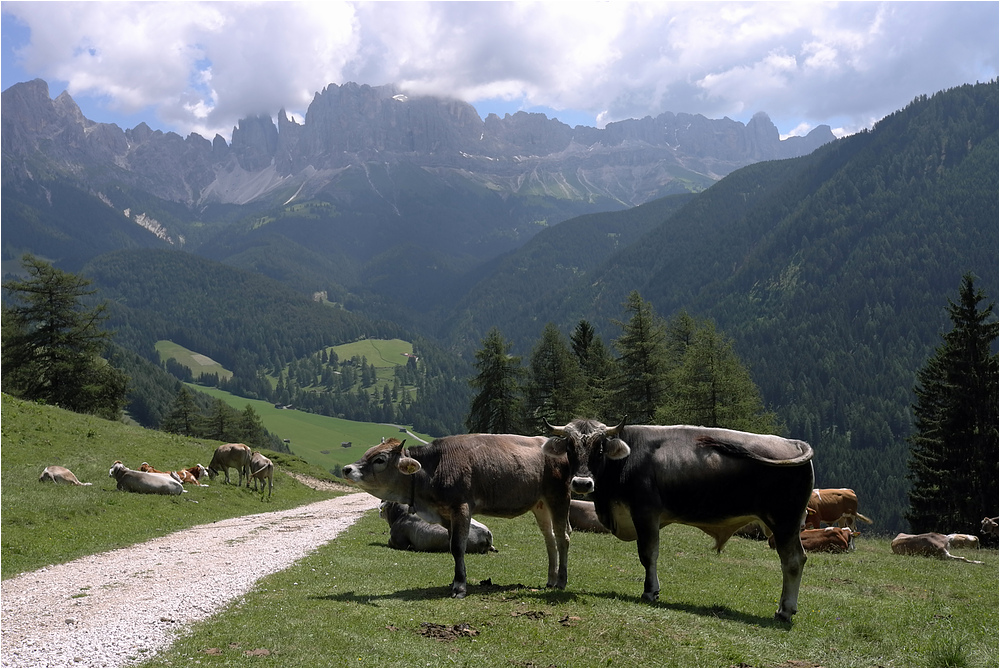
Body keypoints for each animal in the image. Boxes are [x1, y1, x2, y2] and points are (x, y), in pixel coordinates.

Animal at [340, 436, 572, 596]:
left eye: (380, 459)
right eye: (368, 451)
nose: (346, 469)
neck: (434, 468)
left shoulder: (462, 506)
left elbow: (458, 546)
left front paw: (460, 587)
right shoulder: (446, 515)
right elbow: (452, 546)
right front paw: (454, 581)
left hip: (559, 496)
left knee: (563, 538)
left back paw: (561, 581)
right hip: (540, 504)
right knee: (550, 539)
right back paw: (550, 580)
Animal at [544, 418, 816, 620]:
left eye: (599, 448)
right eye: (569, 447)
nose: (581, 483)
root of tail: (792, 442)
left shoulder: (646, 512)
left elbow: (648, 554)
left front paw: (650, 592)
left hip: (785, 522)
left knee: (792, 561)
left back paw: (785, 610)